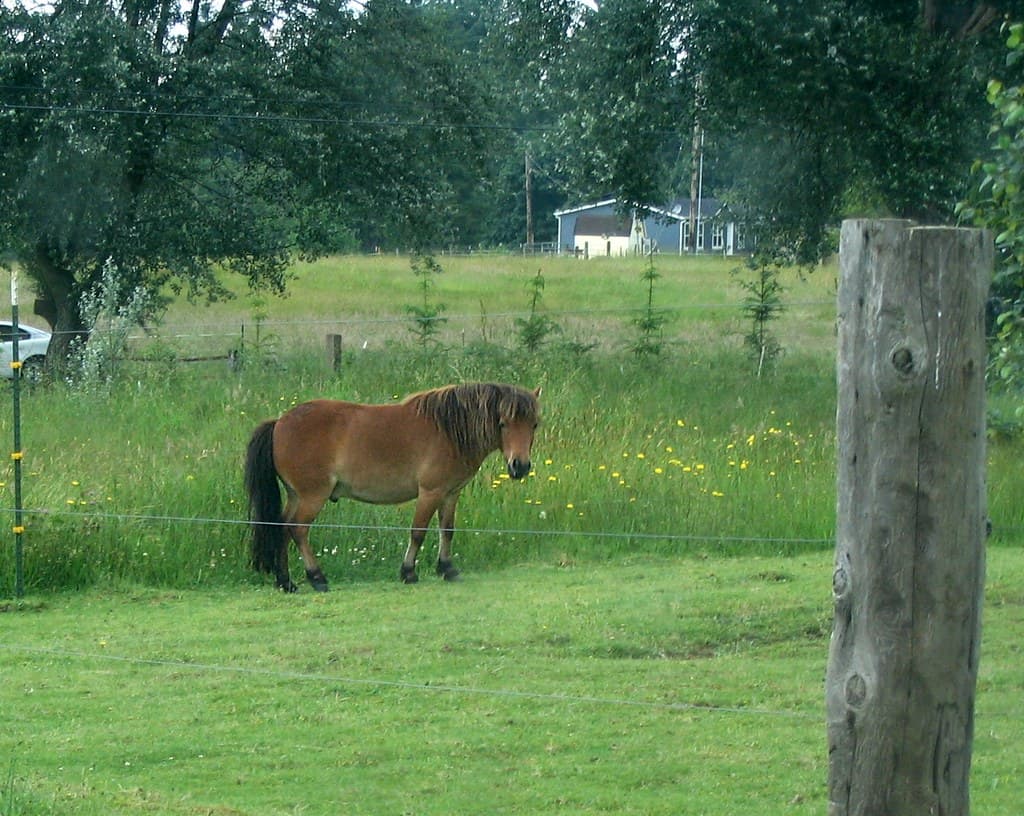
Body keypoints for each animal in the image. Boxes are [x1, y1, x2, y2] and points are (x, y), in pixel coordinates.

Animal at [244, 382, 541, 592]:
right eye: (502, 423)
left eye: (535, 424)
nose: (520, 466)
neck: (448, 429)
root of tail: (279, 423)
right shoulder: (430, 493)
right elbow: (418, 532)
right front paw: (408, 572)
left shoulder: (450, 493)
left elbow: (447, 530)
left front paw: (447, 569)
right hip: (312, 496)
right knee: (298, 529)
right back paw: (317, 578)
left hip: (296, 495)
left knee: (281, 528)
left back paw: (285, 582)